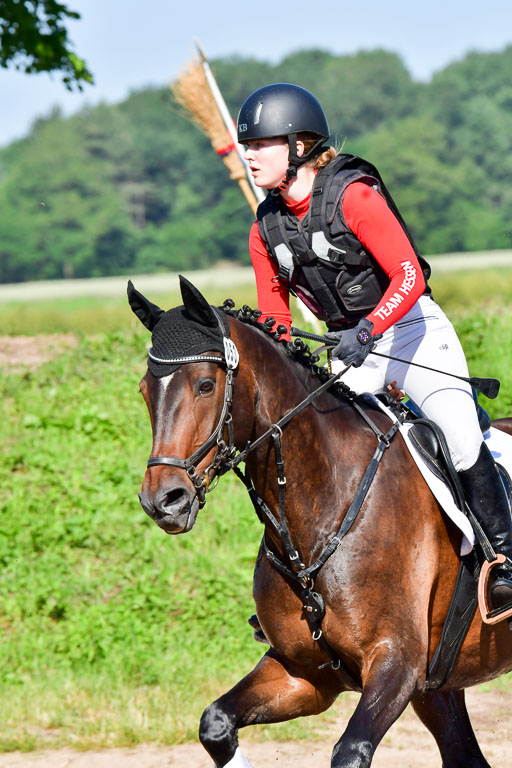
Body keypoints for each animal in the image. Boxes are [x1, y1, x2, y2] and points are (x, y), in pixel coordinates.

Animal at [128, 275, 512, 768]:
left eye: (206, 385)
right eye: (145, 390)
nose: (164, 502)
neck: (323, 508)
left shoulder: (396, 664)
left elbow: (350, 751)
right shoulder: (305, 675)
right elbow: (215, 724)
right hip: (438, 691)